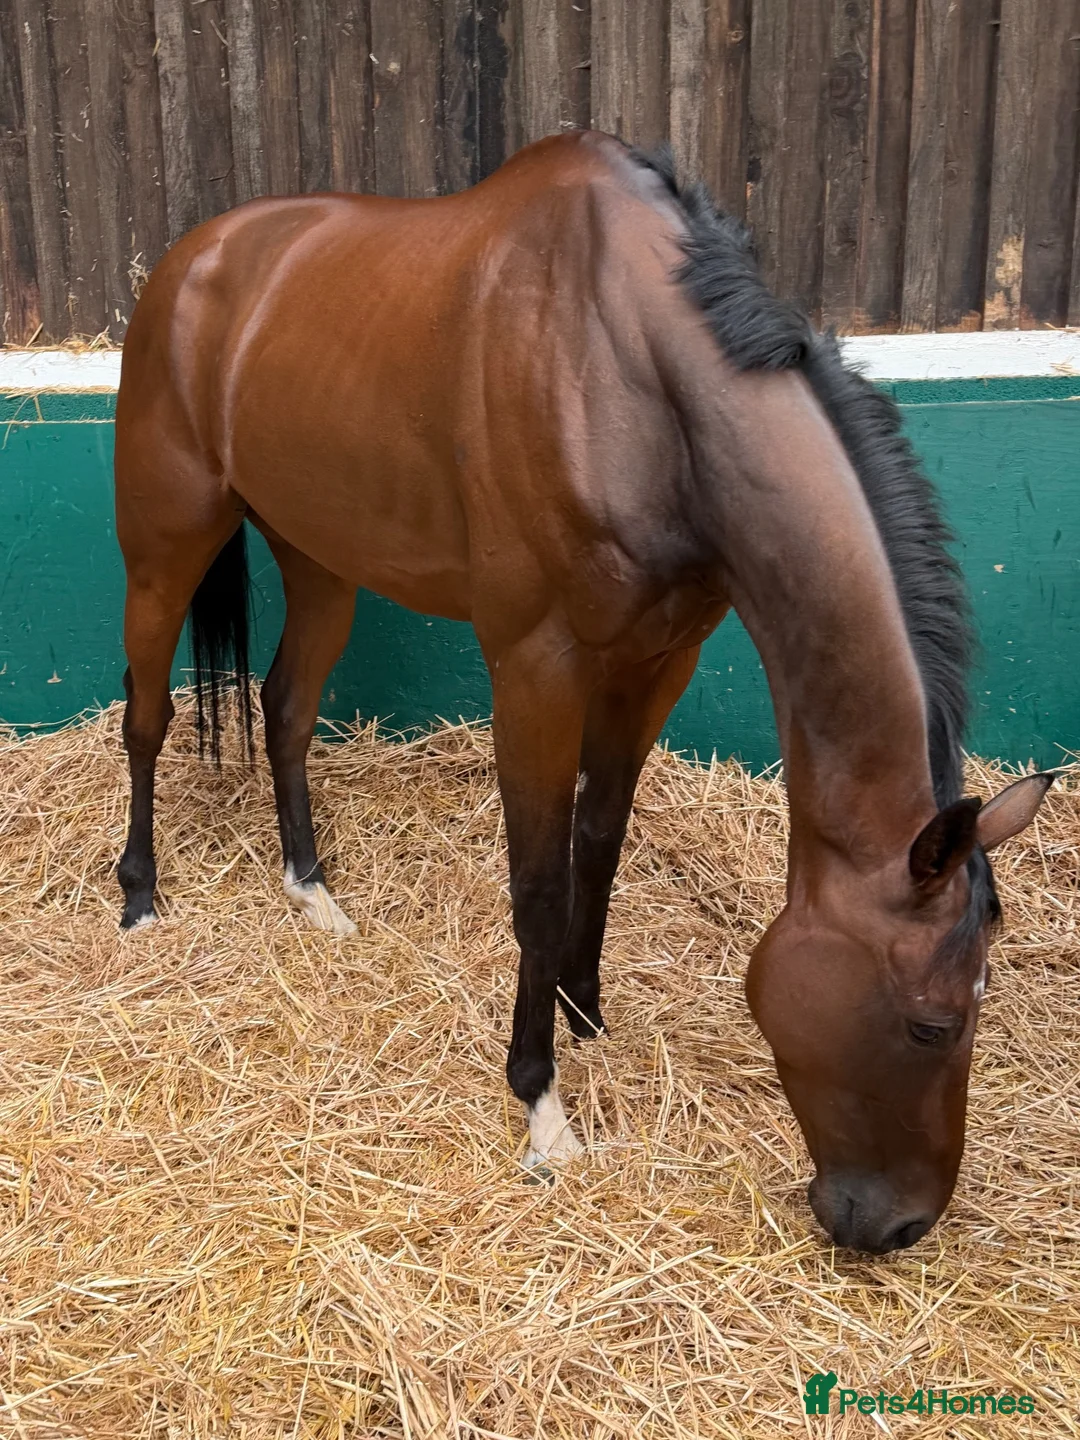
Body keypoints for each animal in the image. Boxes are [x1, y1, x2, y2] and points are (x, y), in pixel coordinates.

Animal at [114, 131, 1053, 1253]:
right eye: (930, 1020)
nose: (899, 1226)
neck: (636, 380)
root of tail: (189, 259)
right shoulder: (536, 666)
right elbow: (539, 878)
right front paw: (540, 1100)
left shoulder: (659, 660)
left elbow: (600, 838)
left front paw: (585, 1008)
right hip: (166, 546)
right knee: (147, 718)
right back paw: (139, 899)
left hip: (321, 558)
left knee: (286, 707)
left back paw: (312, 891)